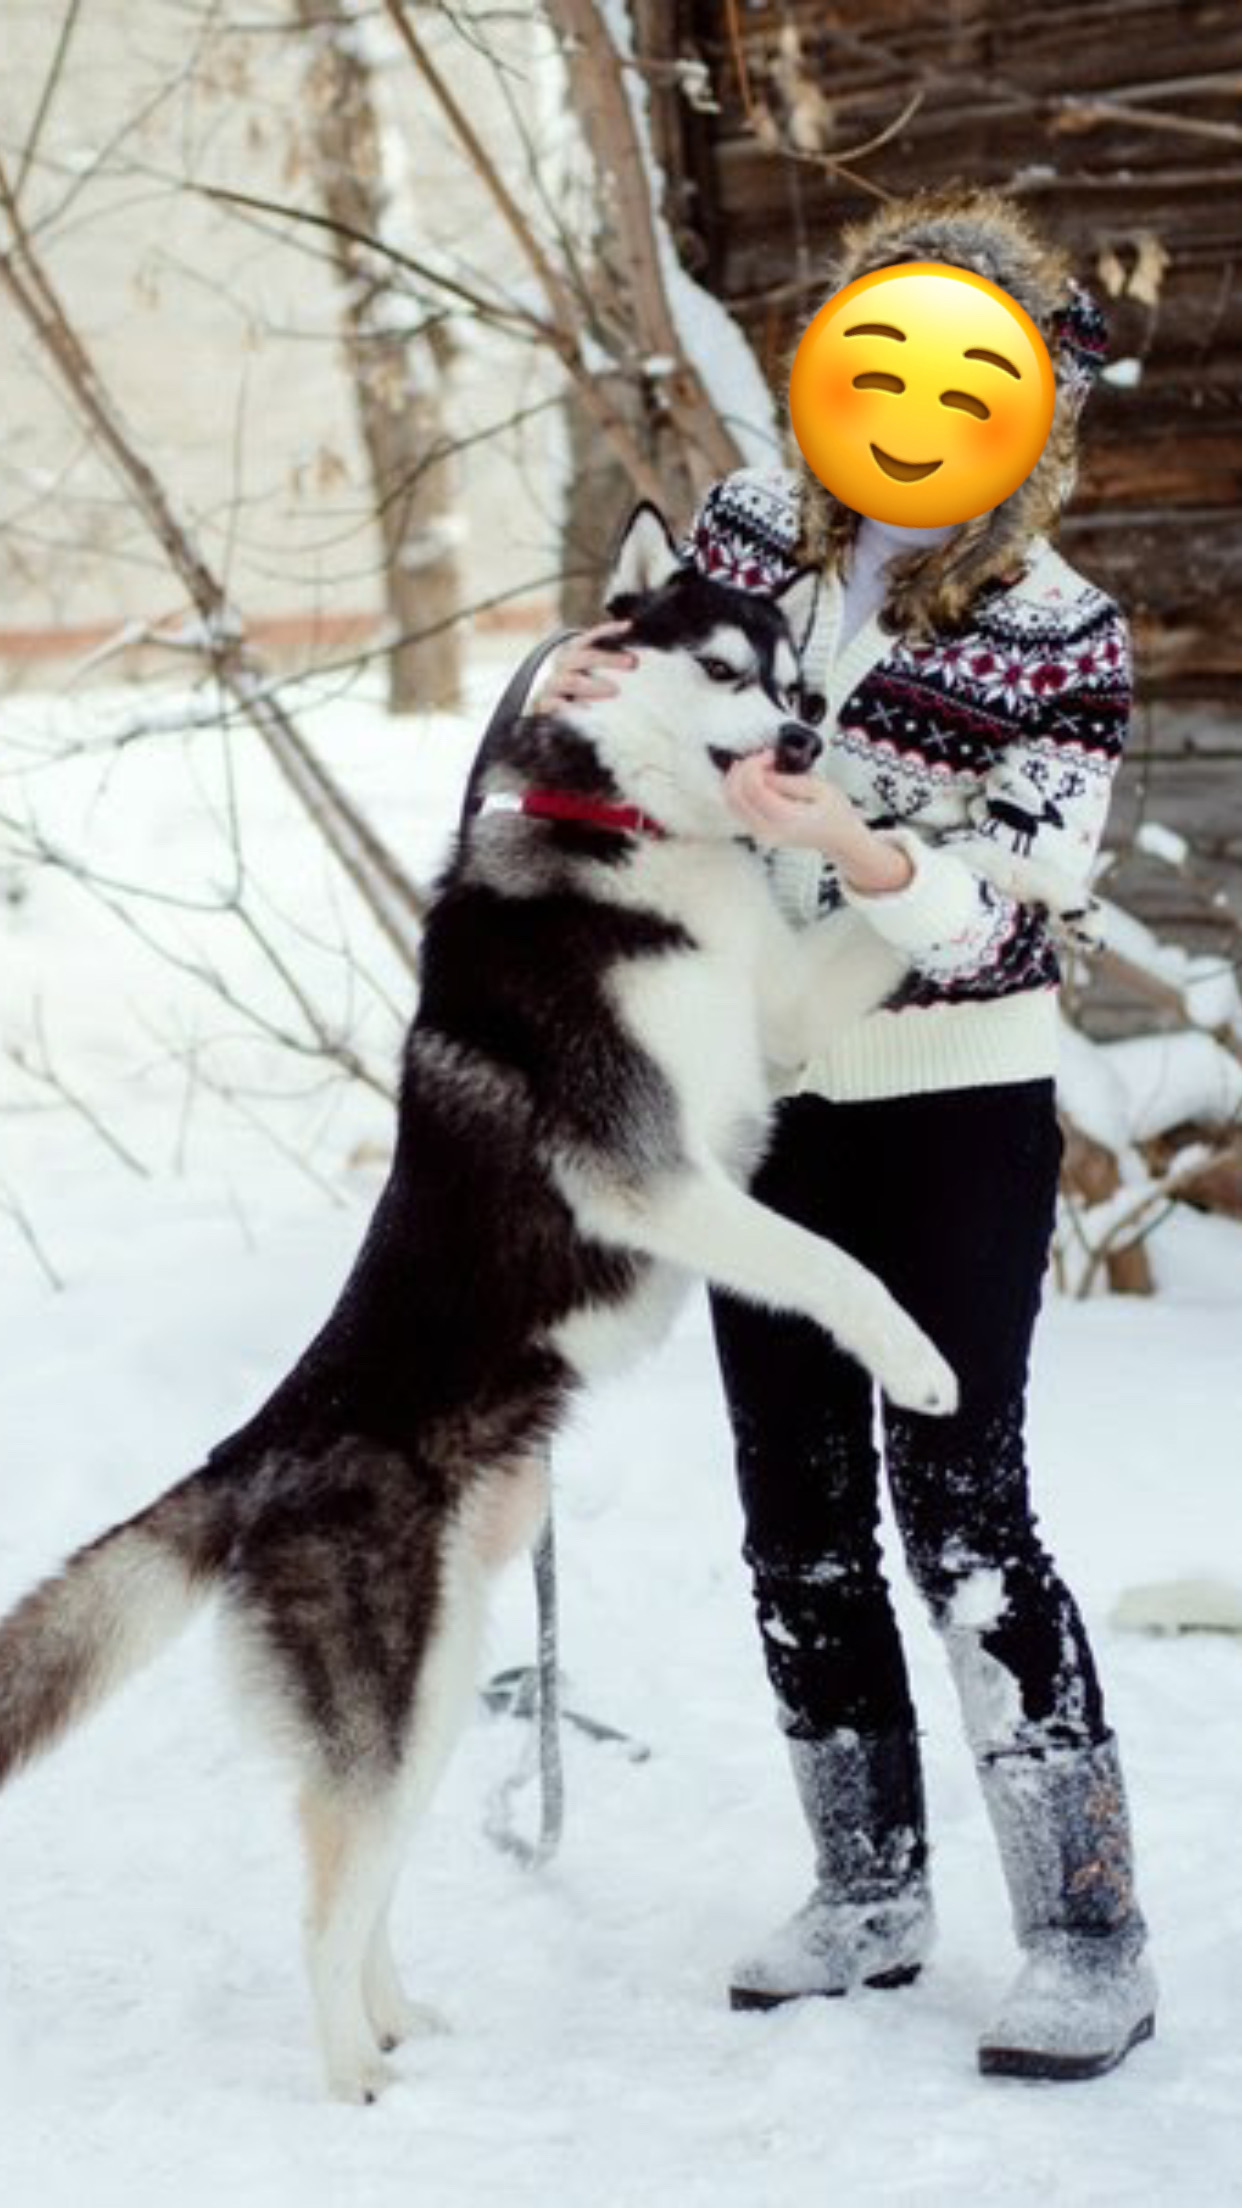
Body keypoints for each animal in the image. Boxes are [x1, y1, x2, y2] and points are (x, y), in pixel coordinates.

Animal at [0, 502, 957, 2104]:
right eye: (721, 672)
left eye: (795, 682)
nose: (805, 744)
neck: (634, 846)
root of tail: (256, 1449)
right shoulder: (657, 1180)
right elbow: (840, 1267)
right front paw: (920, 1360)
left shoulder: (773, 1027)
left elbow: (883, 928)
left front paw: (1024, 873)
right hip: (394, 1686)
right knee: (323, 1897)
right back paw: (351, 2080)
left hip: (444, 1680)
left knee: (371, 1869)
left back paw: (399, 2023)